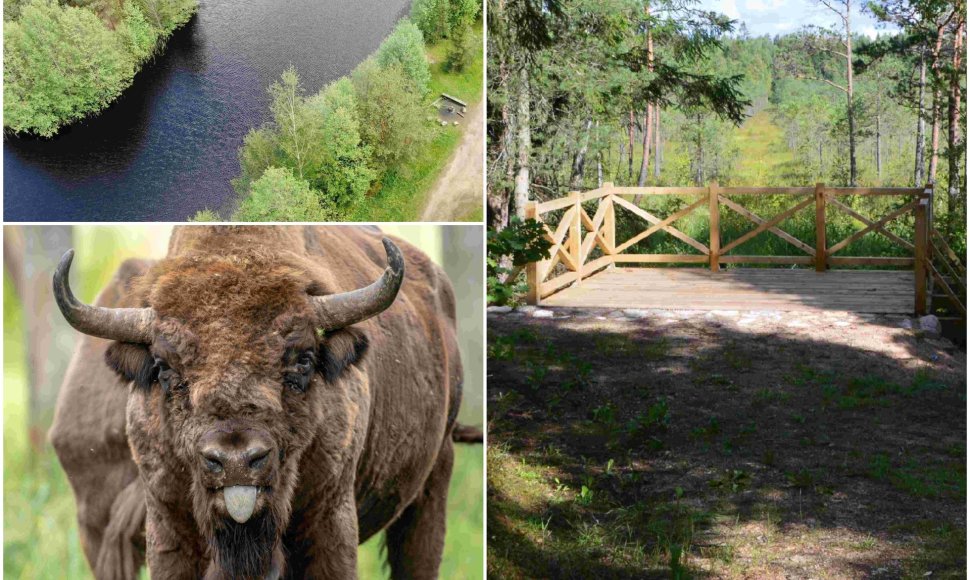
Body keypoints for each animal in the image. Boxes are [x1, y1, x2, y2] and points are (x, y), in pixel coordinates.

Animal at [49, 224, 480, 576]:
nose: (236, 461)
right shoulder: (164, 527)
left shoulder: (330, 521)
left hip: (432, 486)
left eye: (303, 361)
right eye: (165, 368)